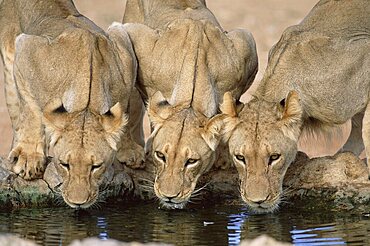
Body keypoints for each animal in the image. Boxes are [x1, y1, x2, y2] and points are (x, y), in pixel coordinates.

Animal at [0, 0, 145, 208]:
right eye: (64, 164)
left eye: (96, 166)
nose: (78, 203)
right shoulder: (26, 49)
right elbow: (31, 109)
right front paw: (30, 158)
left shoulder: (126, 57)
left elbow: (124, 112)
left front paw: (129, 149)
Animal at [120, 0, 258, 209]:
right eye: (161, 156)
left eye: (191, 161)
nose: (169, 196)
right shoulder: (133, 35)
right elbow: (127, 98)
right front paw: (130, 152)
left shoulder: (245, 47)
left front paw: (224, 156)